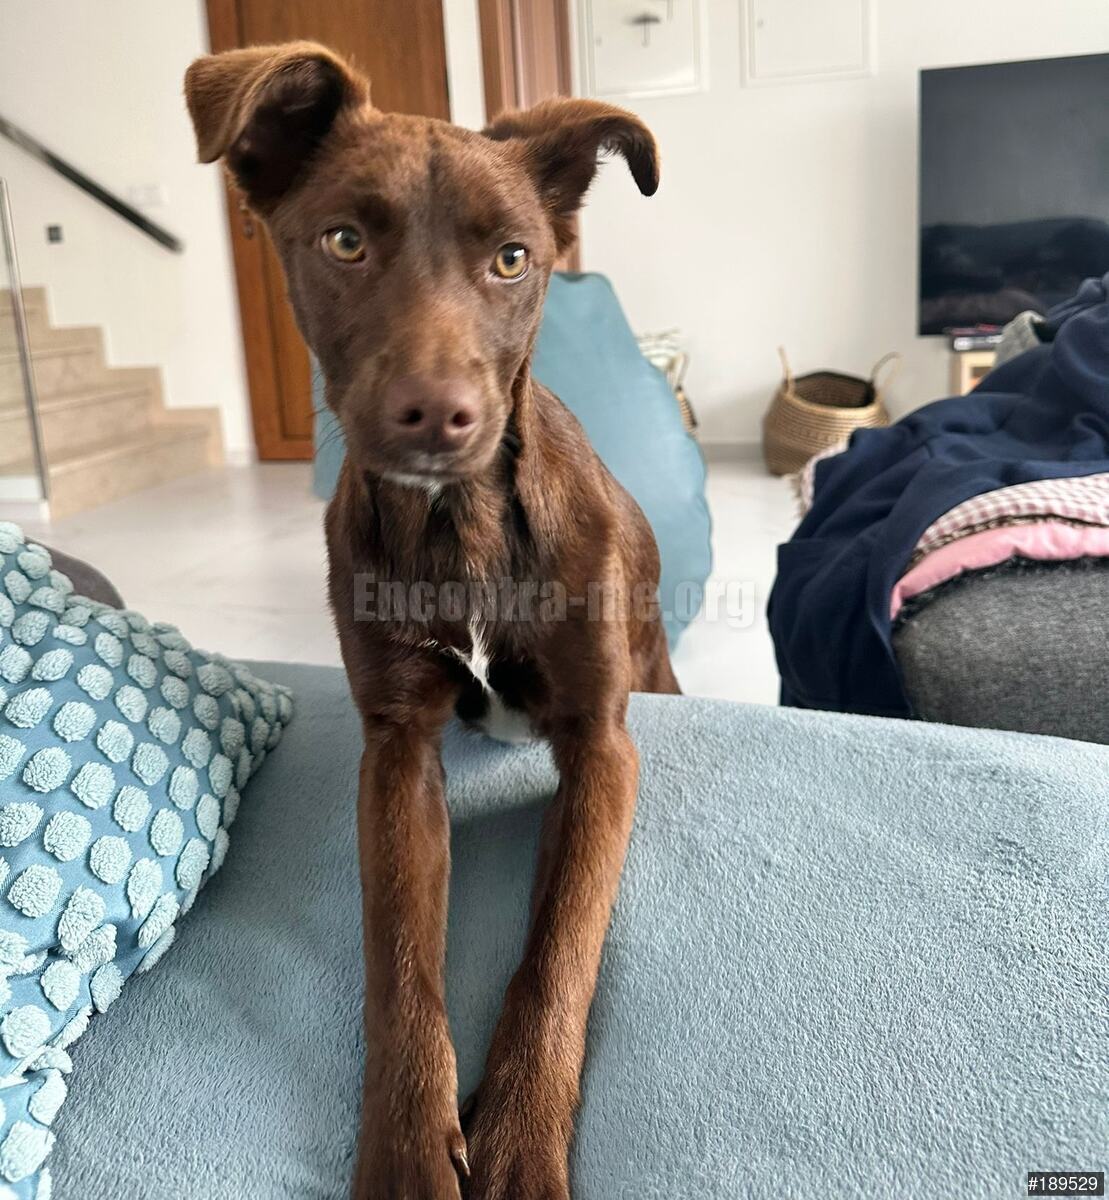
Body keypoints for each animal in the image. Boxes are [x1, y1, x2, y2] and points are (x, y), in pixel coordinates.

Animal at [186, 42, 679, 1199]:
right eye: (344, 240)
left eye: (511, 258)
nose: (437, 416)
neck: (460, 529)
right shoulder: (397, 744)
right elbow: (398, 953)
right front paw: (410, 1144)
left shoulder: (604, 744)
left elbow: (559, 949)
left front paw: (519, 1137)